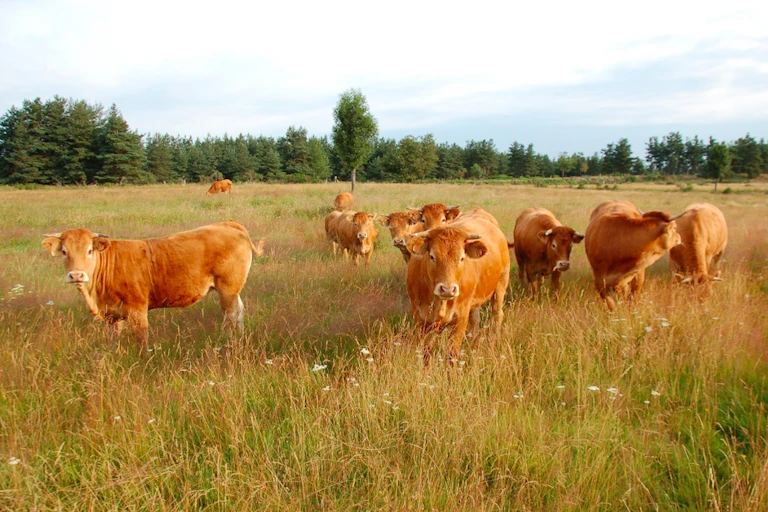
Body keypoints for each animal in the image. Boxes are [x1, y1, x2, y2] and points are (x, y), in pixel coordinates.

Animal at [42, 221, 265, 344]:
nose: (76, 275)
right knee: (239, 311)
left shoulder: (137, 309)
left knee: (231, 315)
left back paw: (228, 341)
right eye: (64, 251)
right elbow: (113, 339)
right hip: (232, 290)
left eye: (89, 250)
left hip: (227, 288)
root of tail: (227, 224)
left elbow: (141, 339)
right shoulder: (112, 316)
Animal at [406, 208, 510, 364]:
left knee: (497, 315)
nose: (448, 289)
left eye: (462, 258)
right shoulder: (420, 317)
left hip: (500, 286)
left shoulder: (460, 318)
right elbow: (426, 354)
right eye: (432, 256)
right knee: (475, 320)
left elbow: (451, 354)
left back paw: (492, 344)